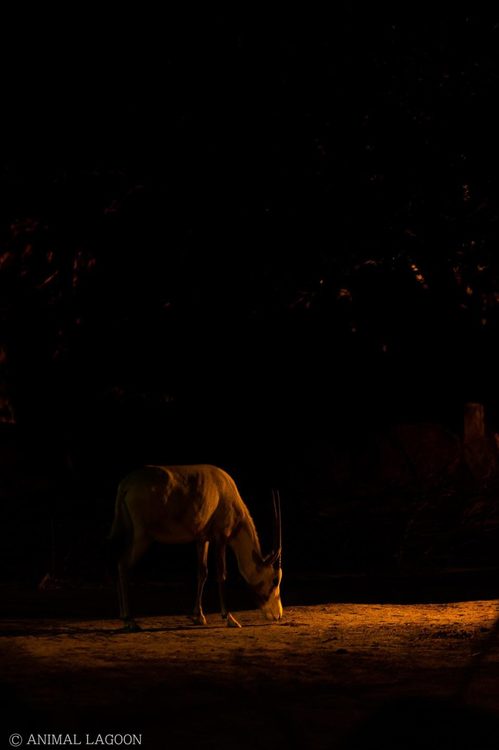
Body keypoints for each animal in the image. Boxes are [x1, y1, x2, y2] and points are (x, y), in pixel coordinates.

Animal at [108, 468, 284, 632]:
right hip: (142, 537)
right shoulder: (220, 538)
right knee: (123, 564)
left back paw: (124, 617)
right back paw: (129, 620)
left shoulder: (202, 539)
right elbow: (221, 575)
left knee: (118, 561)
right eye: (275, 580)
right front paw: (229, 618)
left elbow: (202, 572)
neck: (227, 492)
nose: (278, 615)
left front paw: (199, 616)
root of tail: (126, 484)